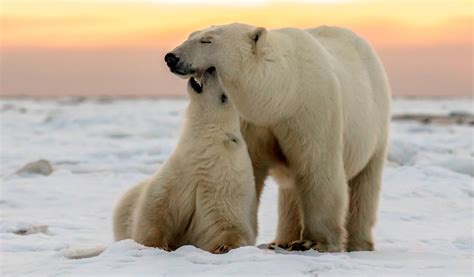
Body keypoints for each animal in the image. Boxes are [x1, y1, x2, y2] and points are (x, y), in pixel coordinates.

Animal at [112, 68, 256, 252]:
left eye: (224, 97)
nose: (211, 69)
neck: (206, 158)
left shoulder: (222, 192)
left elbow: (228, 225)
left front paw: (224, 246)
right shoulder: (178, 172)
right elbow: (155, 207)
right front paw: (156, 245)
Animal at [165, 23, 390, 251]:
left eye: (207, 40)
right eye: (191, 35)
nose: (171, 57)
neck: (282, 96)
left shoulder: (311, 112)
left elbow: (317, 167)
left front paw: (315, 242)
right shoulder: (251, 121)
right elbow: (248, 169)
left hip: (375, 127)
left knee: (365, 186)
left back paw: (359, 244)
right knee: (291, 191)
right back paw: (282, 240)